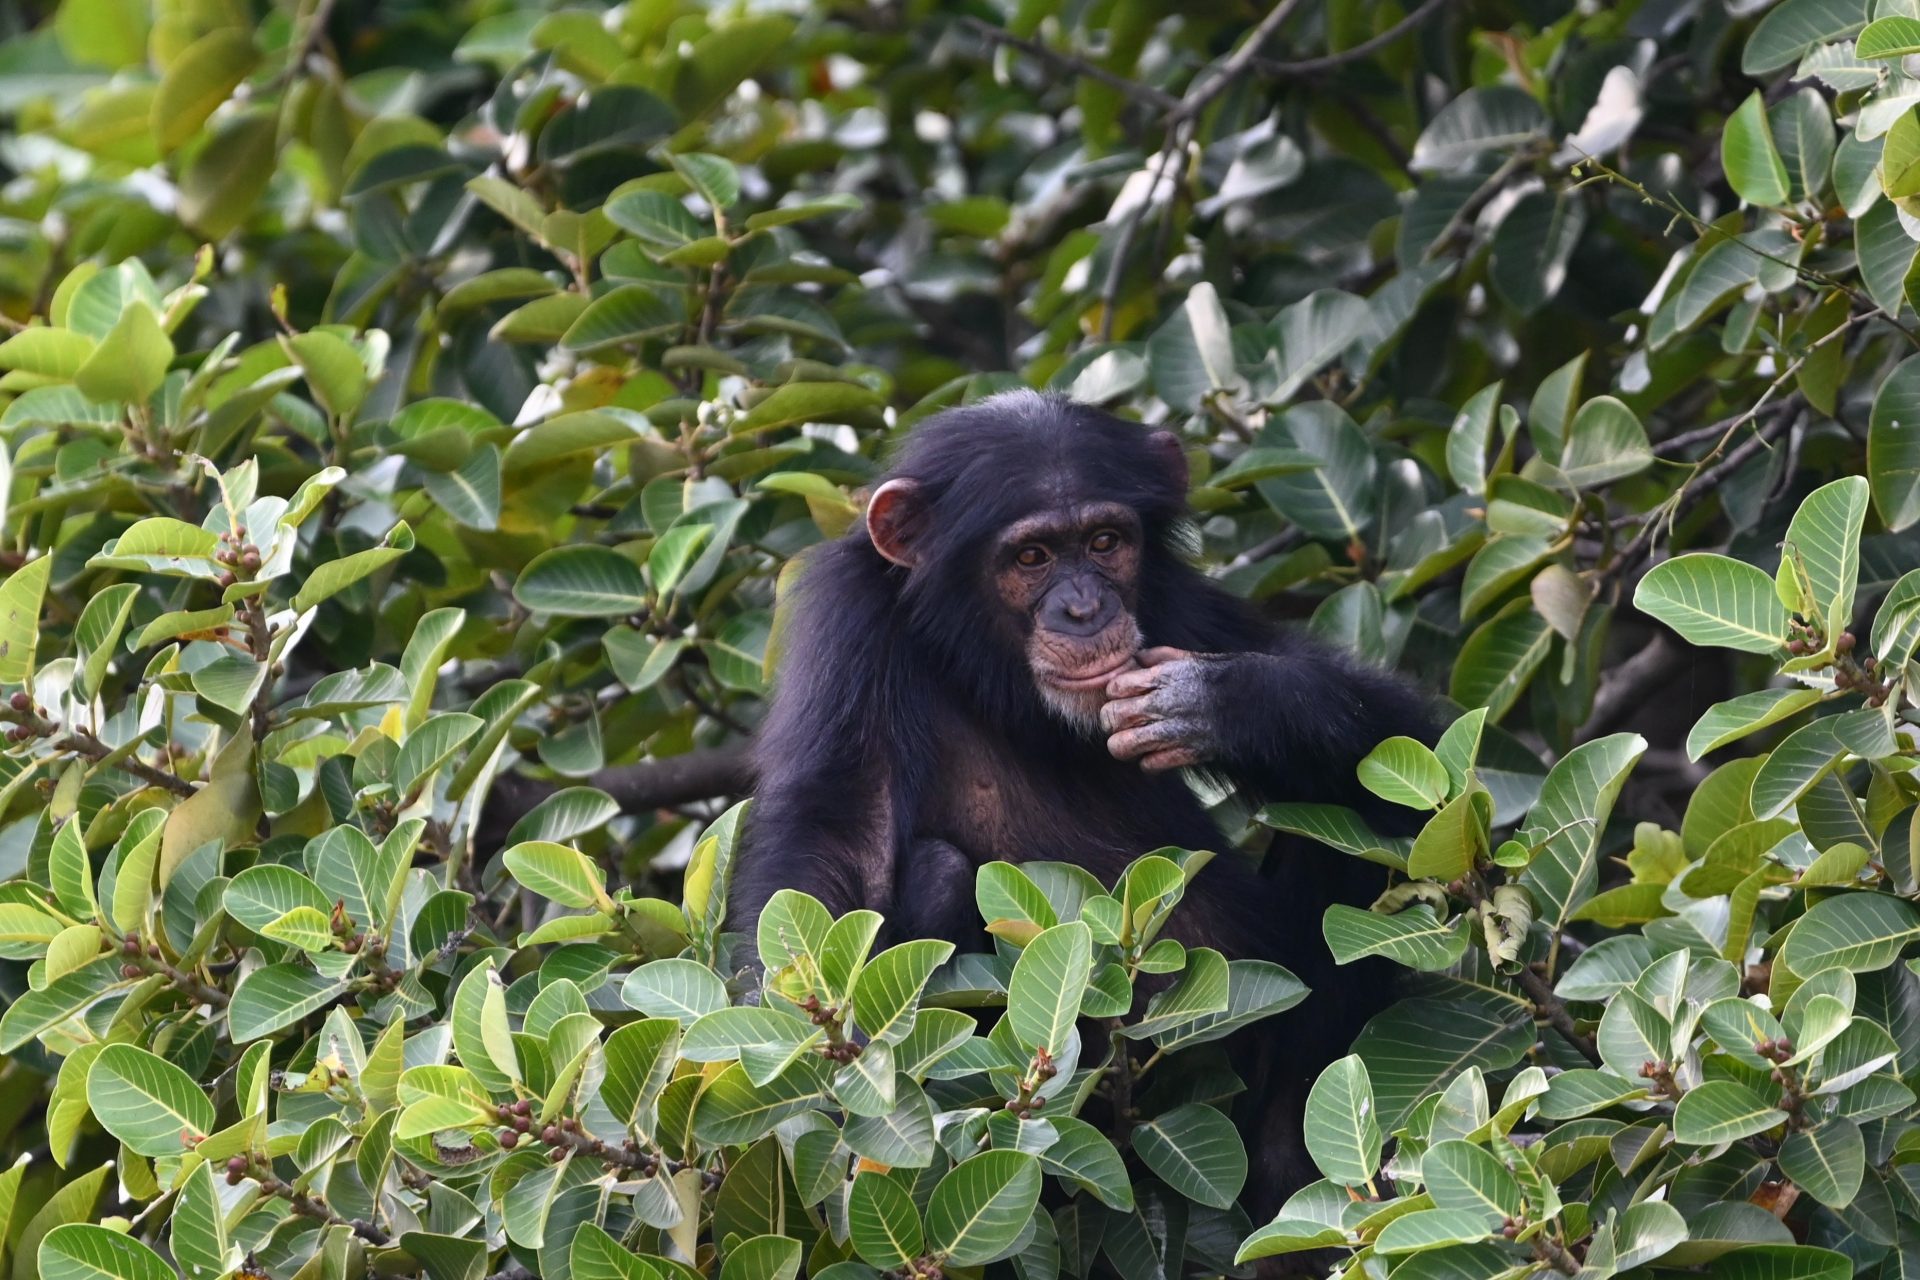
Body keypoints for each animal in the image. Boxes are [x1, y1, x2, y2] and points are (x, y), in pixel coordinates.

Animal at [725, 393, 1436, 1228]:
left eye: (1104, 542)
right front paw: (823, 1058)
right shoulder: (851, 625)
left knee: (1351, 830)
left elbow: (1412, 751)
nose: (1085, 607)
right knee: (937, 869)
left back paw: (1290, 1165)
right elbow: (839, 831)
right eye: (1031, 557)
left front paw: (1227, 701)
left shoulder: (1177, 600)